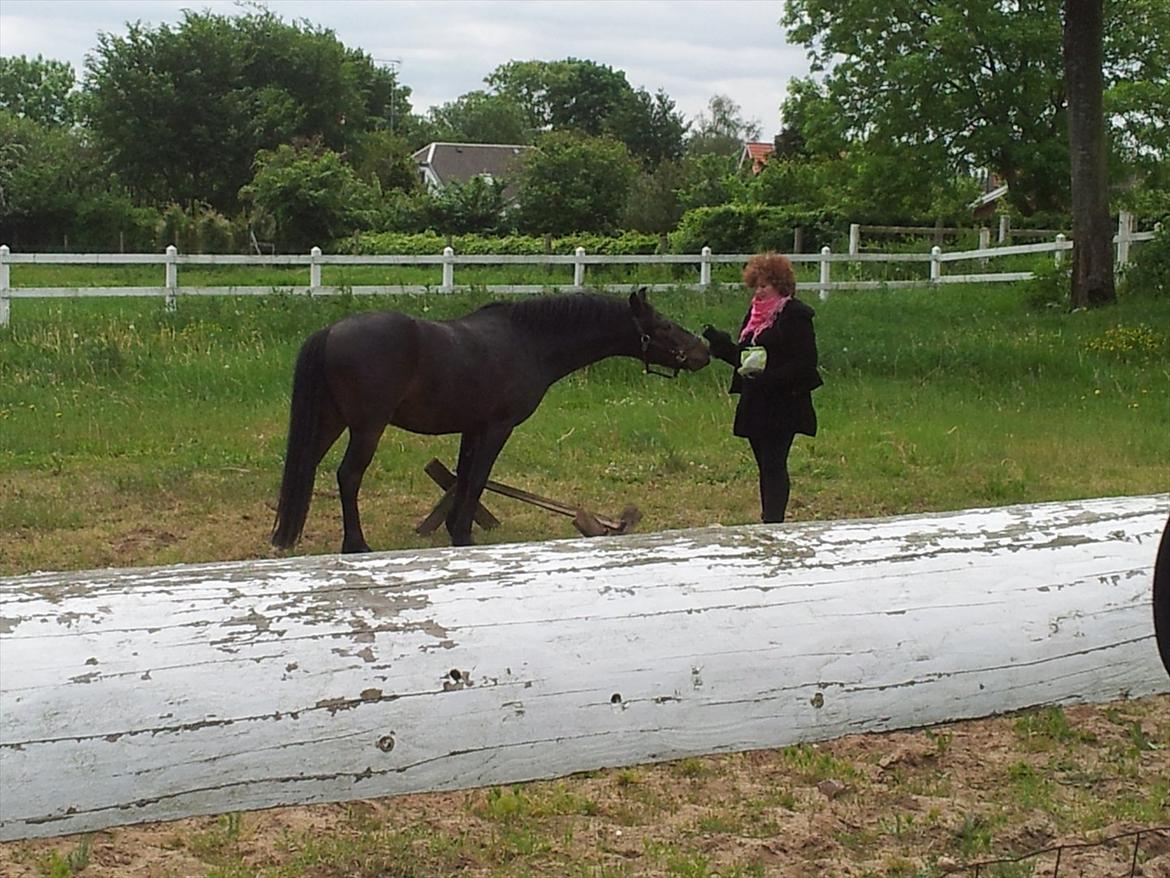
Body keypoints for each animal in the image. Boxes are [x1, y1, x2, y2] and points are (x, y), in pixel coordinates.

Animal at [271, 290, 711, 550]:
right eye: (663, 326)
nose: (703, 351)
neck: (528, 341)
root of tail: (331, 331)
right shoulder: (497, 428)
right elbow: (478, 480)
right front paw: (463, 536)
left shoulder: (472, 428)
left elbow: (465, 479)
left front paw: (454, 530)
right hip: (366, 427)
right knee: (348, 476)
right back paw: (356, 546)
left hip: (330, 422)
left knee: (306, 467)